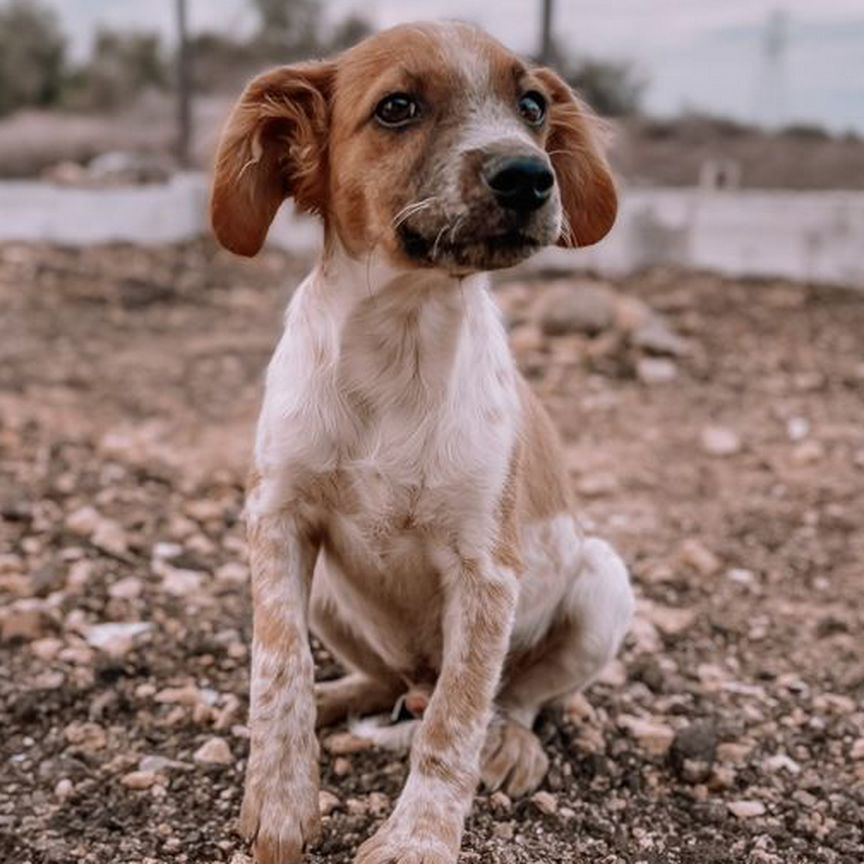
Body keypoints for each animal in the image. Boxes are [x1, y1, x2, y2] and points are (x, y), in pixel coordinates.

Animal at [212, 20, 636, 864]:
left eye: (532, 105)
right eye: (397, 107)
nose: (530, 176)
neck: (397, 346)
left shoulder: (486, 573)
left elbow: (455, 718)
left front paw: (416, 840)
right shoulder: (276, 516)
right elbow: (277, 665)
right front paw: (280, 801)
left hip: (604, 582)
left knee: (517, 697)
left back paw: (512, 744)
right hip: (332, 597)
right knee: (381, 681)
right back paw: (342, 699)